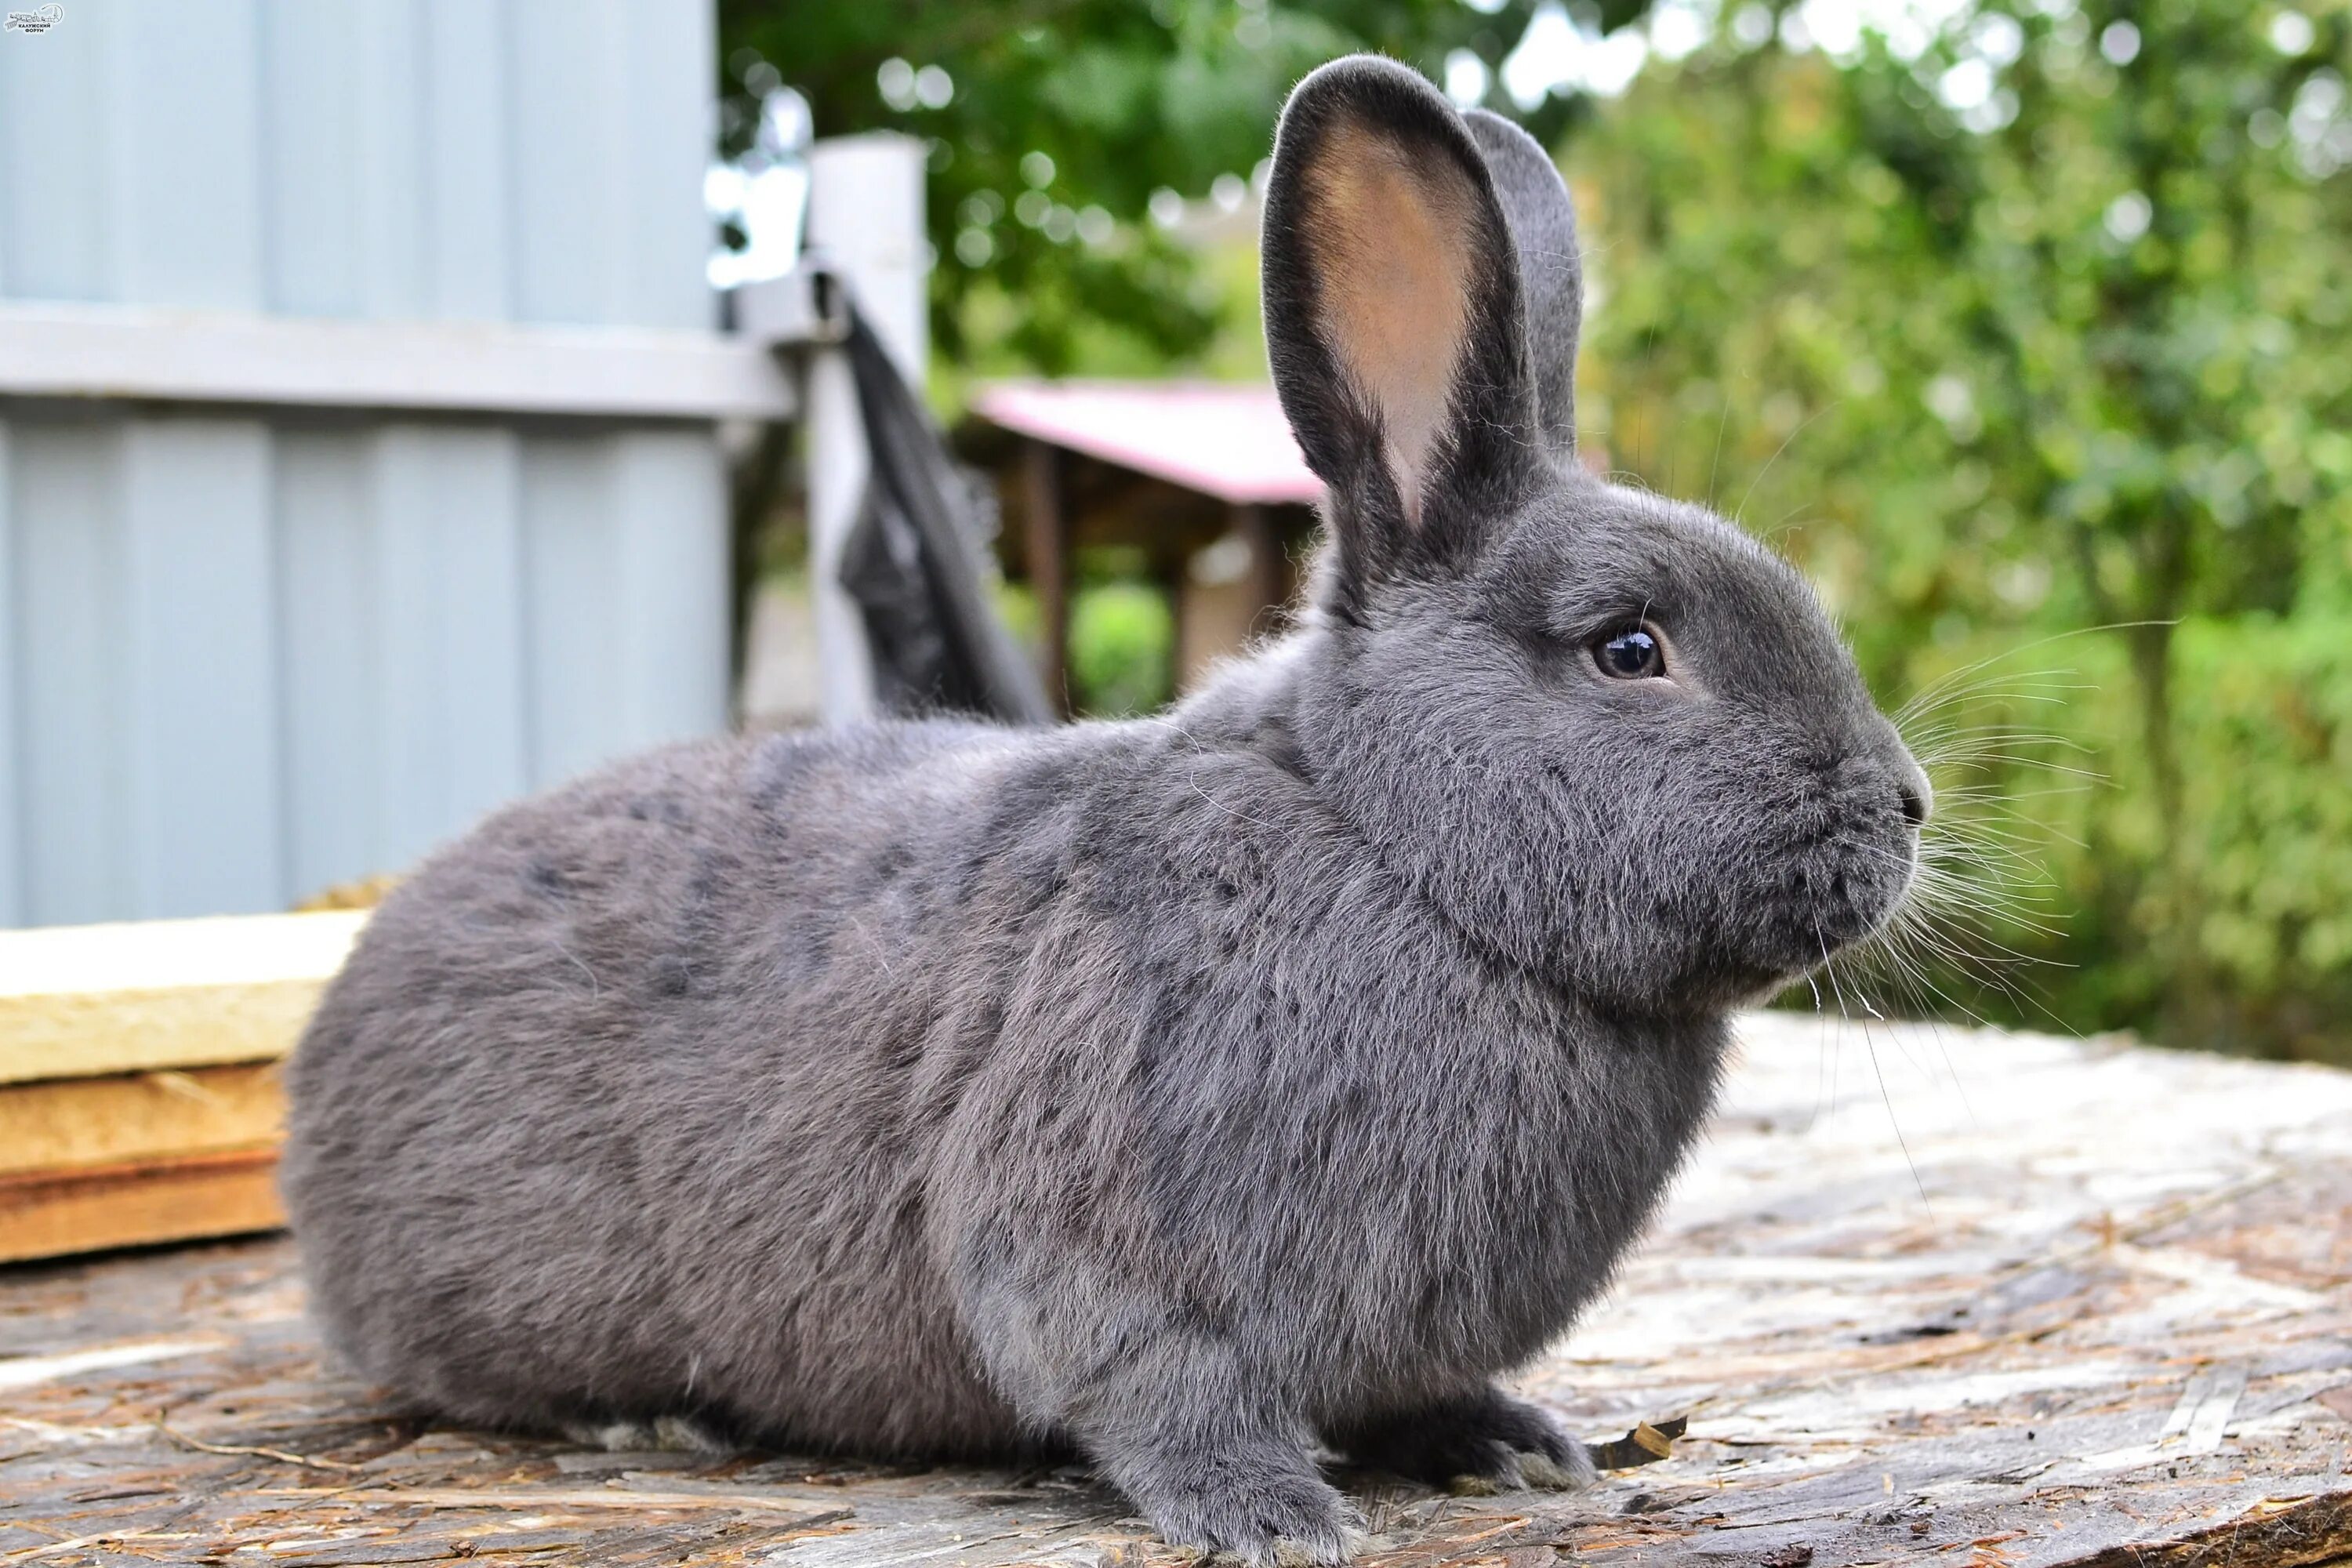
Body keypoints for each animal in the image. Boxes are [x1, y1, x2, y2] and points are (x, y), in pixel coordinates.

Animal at [280, 55, 1929, 1561]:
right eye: (1630, 649)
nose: (1906, 806)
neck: (1386, 848)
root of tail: (326, 1057)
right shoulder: (1096, 1241)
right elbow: (1157, 1390)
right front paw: (1275, 1519)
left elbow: (1409, 1391)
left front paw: (1510, 1444)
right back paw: (647, 1419)